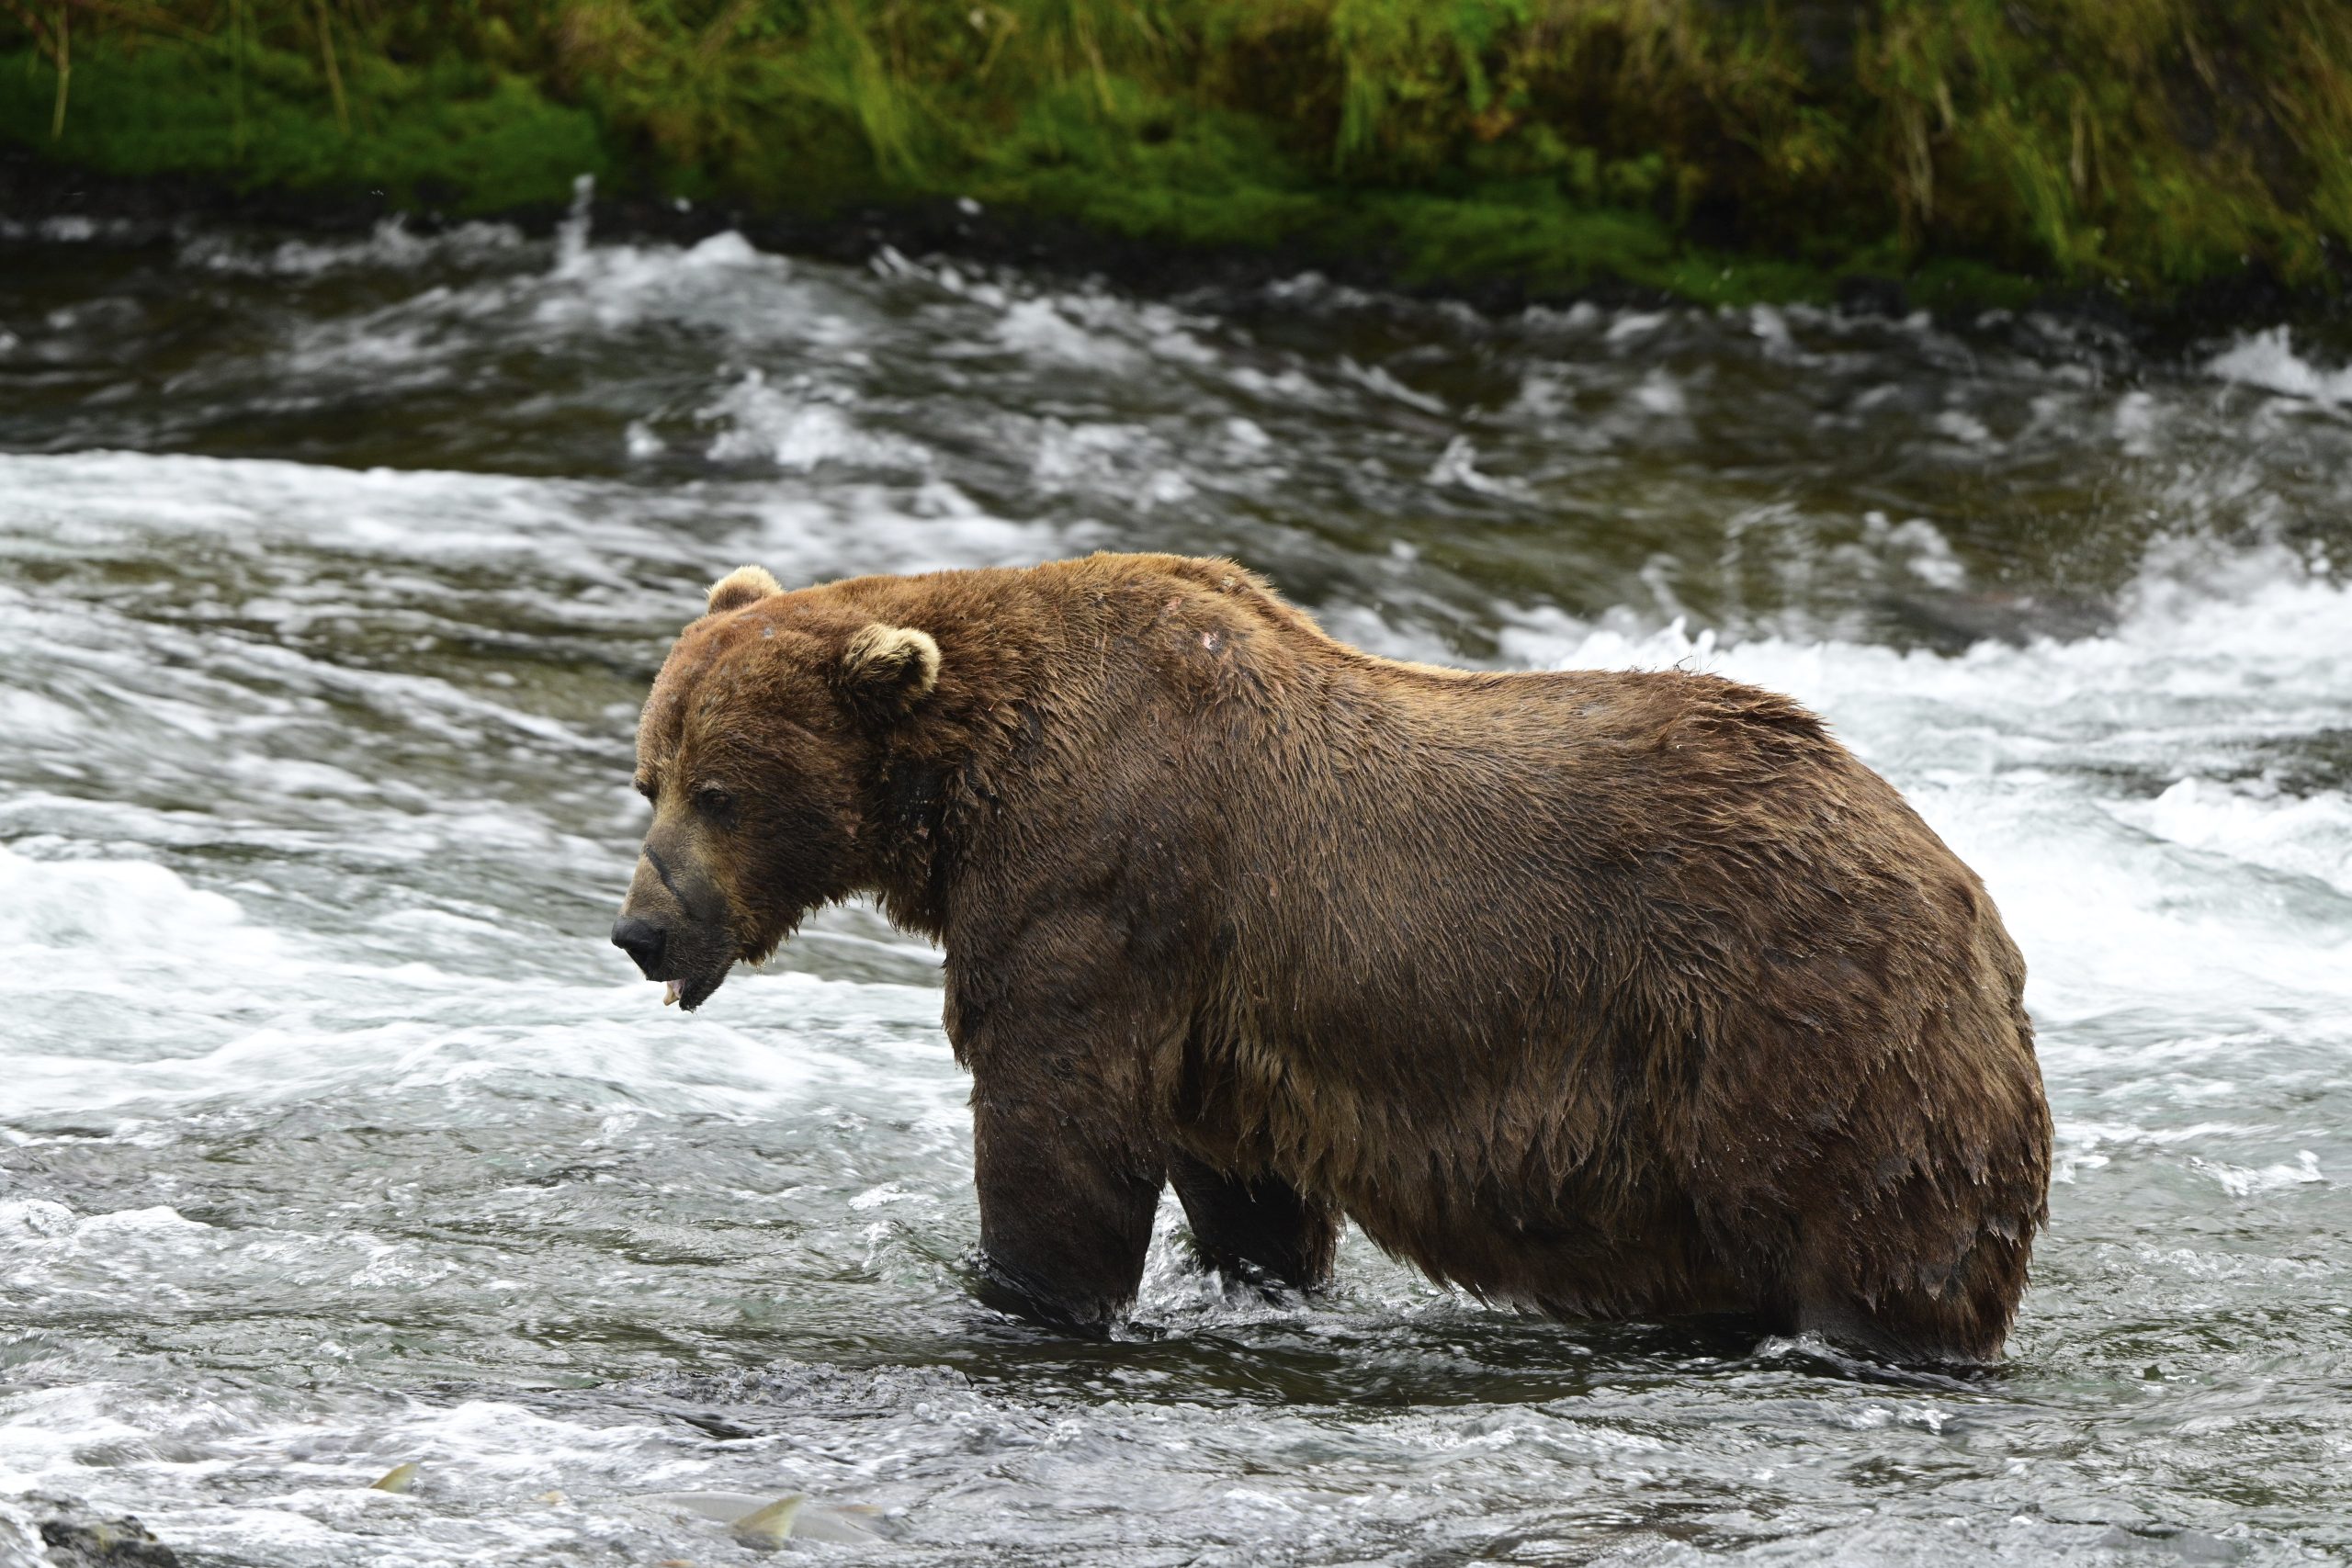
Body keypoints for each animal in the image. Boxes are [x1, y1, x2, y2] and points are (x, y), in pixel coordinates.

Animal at [611, 552, 2052, 1362]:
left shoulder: (1102, 879)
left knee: (1876, 1238)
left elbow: (1056, 1125)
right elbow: (1238, 1181)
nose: (641, 929)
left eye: (721, 790)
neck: (966, 783)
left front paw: (1021, 1294)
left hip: (1800, 1024)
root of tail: (1972, 899)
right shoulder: (1214, 1003)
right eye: (650, 776)